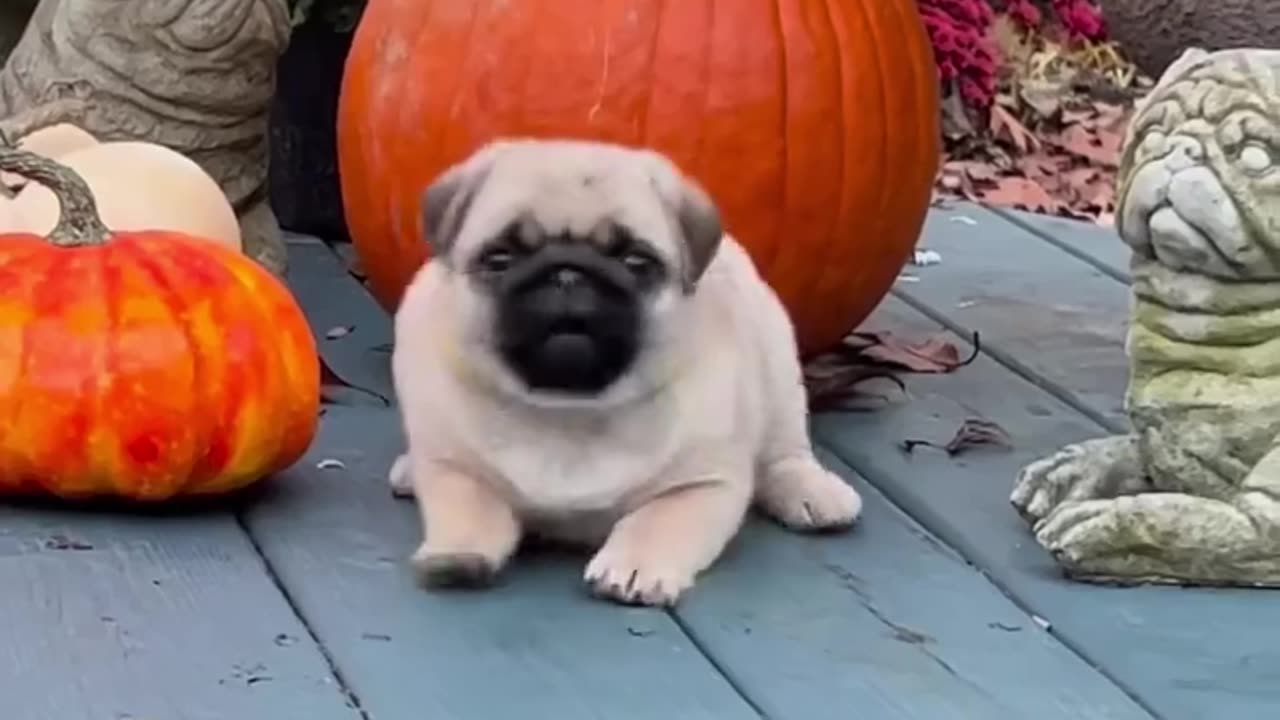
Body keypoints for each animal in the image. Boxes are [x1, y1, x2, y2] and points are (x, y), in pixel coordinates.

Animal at [389, 137, 865, 602]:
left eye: (636, 261)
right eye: (499, 258)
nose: (567, 273)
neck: (567, 413)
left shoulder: (701, 484)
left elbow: (656, 522)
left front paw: (635, 567)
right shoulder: (454, 469)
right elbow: (469, 504)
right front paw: (457, 553)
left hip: (778, 362)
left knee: (784, 452)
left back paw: (813, 493)